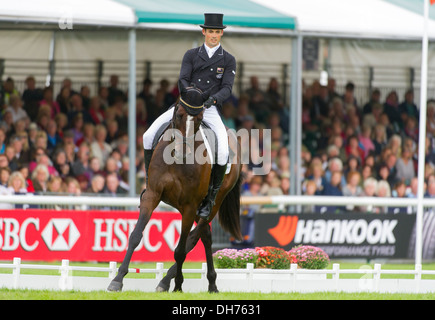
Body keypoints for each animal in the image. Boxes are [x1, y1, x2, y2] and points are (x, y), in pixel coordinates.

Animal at [107, 84, 244, 292]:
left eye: (200, 119)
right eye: (179, 115)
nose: (182, 152)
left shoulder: (189, 206)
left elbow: (180, 250)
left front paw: (177, 285)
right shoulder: (152, 195)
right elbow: (135, 235)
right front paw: (117, 279)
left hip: (210, 204)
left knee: (194, 238)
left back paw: (169, 281)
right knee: (206, 236)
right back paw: (211, 283)